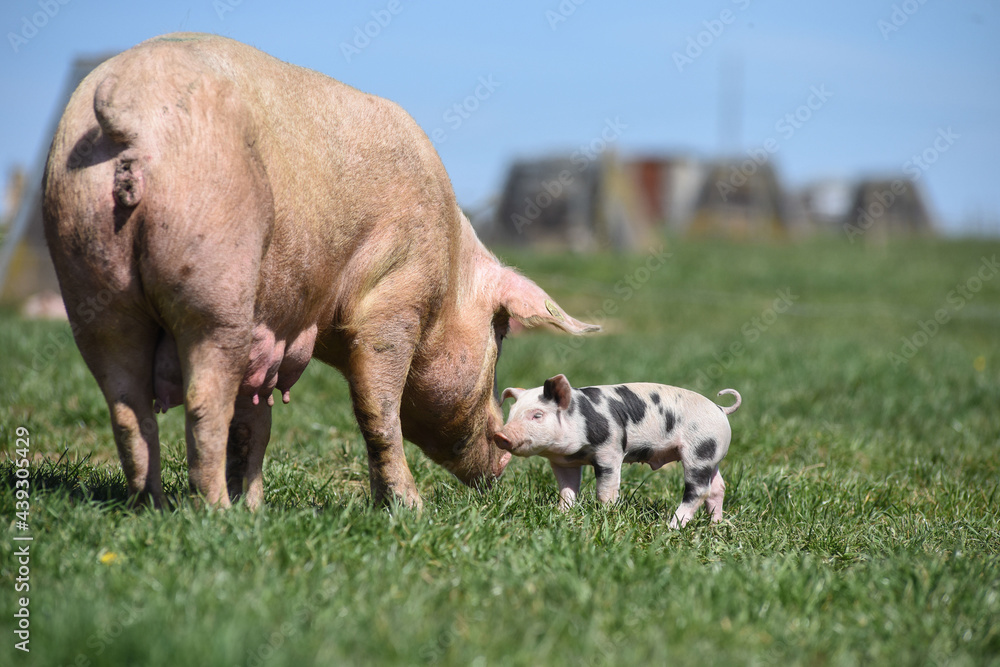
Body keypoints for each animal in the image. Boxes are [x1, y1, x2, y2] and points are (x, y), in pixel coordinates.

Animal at [41, 33, 599, 511]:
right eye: (501, 334)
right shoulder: (396, 293)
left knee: (127, 406)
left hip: (89, 276)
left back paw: (153, 507)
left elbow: (255, 425)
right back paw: (212, 512)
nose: (503, 452)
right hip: (213, 273)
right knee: (203, 401)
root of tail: (129, 106)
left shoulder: (272, 333)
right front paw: (408, 509)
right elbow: (377, 408)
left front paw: (256, 508)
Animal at [495, 375, 741, 528]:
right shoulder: (564, 462)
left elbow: (606, 489)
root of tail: (720, 409)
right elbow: (567, 490)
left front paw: (605, 514)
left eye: (537, 415)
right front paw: (562, 514)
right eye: (512, 413)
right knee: (718, 487)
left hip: (700, 450)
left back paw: (671, 527)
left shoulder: (610, 450)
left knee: (698, 490)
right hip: (713, 456)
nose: (500, 435)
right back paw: (715, 524)